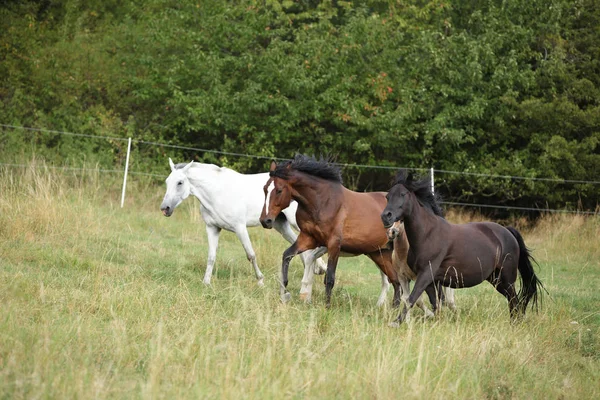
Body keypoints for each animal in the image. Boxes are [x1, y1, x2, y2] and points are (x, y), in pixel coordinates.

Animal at [159, 159, 326, 288]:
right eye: (167, 182)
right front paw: (206, 282)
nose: (165, 208)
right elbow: (211, 256)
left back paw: (321, 268)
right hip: (280, 225)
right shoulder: (212, 228)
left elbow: (250, 255)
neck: (217, 193)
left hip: (295, 222)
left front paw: (261, 281)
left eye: (180, 182)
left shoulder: (240, 228)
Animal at [382, 170, 548, 324]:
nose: (385, 216)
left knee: (514, 301)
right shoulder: (430, 280)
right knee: (514, 301)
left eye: (403, 194)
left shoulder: (426, 274)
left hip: (507, 278)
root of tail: (507, 232)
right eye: (387, 196)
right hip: (495, 279)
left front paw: (395, 323)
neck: (428, 235)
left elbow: (412, 298)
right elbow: (434, 304)